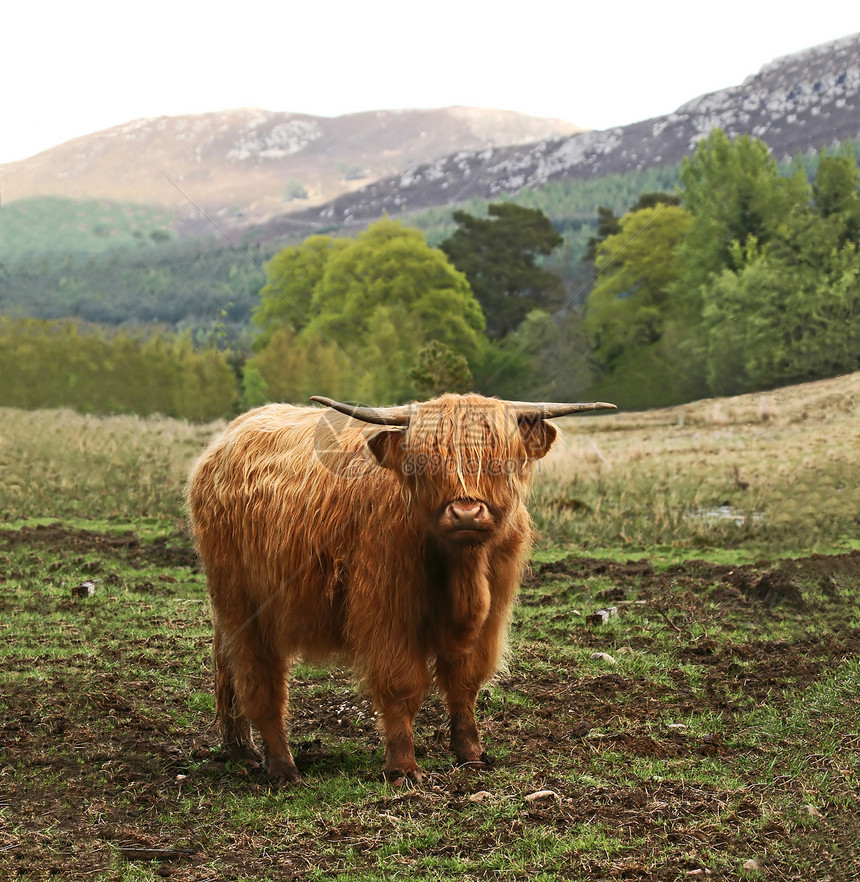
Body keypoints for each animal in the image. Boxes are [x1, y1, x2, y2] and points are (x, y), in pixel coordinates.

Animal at [186, 394, 616, 784]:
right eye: (425, 461)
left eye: (499, 458)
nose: (466, 512)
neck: (462, 568)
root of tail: (227, 437)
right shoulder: (388, 612)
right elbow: (401, 686)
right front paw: (403, 768)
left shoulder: (490, 615)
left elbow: (464, 683)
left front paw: (471, 755)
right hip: (242, 601)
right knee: (260, 679)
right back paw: (282, 767)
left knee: (226, 662)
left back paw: (240, 750)